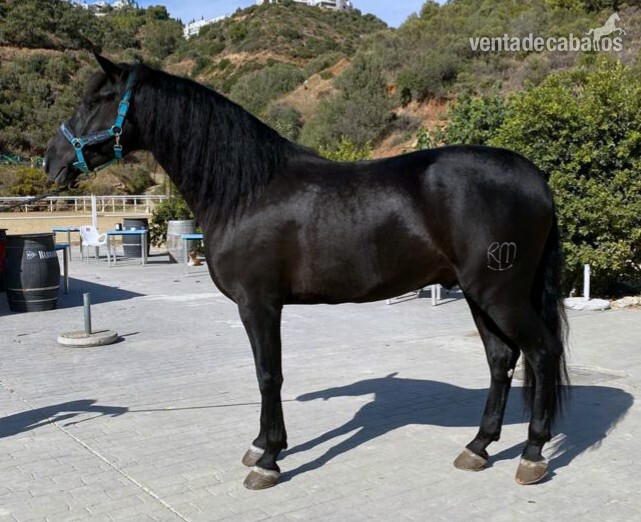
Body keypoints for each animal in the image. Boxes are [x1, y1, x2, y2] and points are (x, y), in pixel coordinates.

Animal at [44, 55, 568, 490]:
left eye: (97, 100)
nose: (51, 161)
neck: (246, 191)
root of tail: (535, 177)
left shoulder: (259, 304)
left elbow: (268, 374)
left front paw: (268, 459)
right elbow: (268, 375)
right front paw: (261, 445)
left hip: (500, 293)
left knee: (542, 351)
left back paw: (532, 454)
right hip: (479, 295)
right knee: (501, 359)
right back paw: (478, 447)